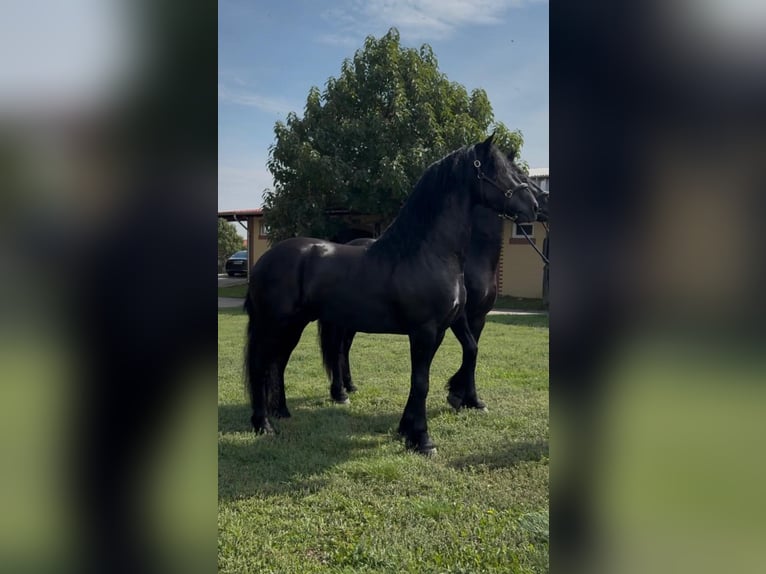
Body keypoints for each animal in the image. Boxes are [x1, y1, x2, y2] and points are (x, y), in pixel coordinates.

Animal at [318, 152, 549, 413]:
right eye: (518, 175)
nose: (538, 205)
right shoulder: (458, 319)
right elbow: (469, 350)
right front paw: (458, 395)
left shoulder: (478, 318)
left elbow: (472, 351)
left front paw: (467, 397)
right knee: (336, 348)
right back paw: (339, 392)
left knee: (344, 347)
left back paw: (350, 386)